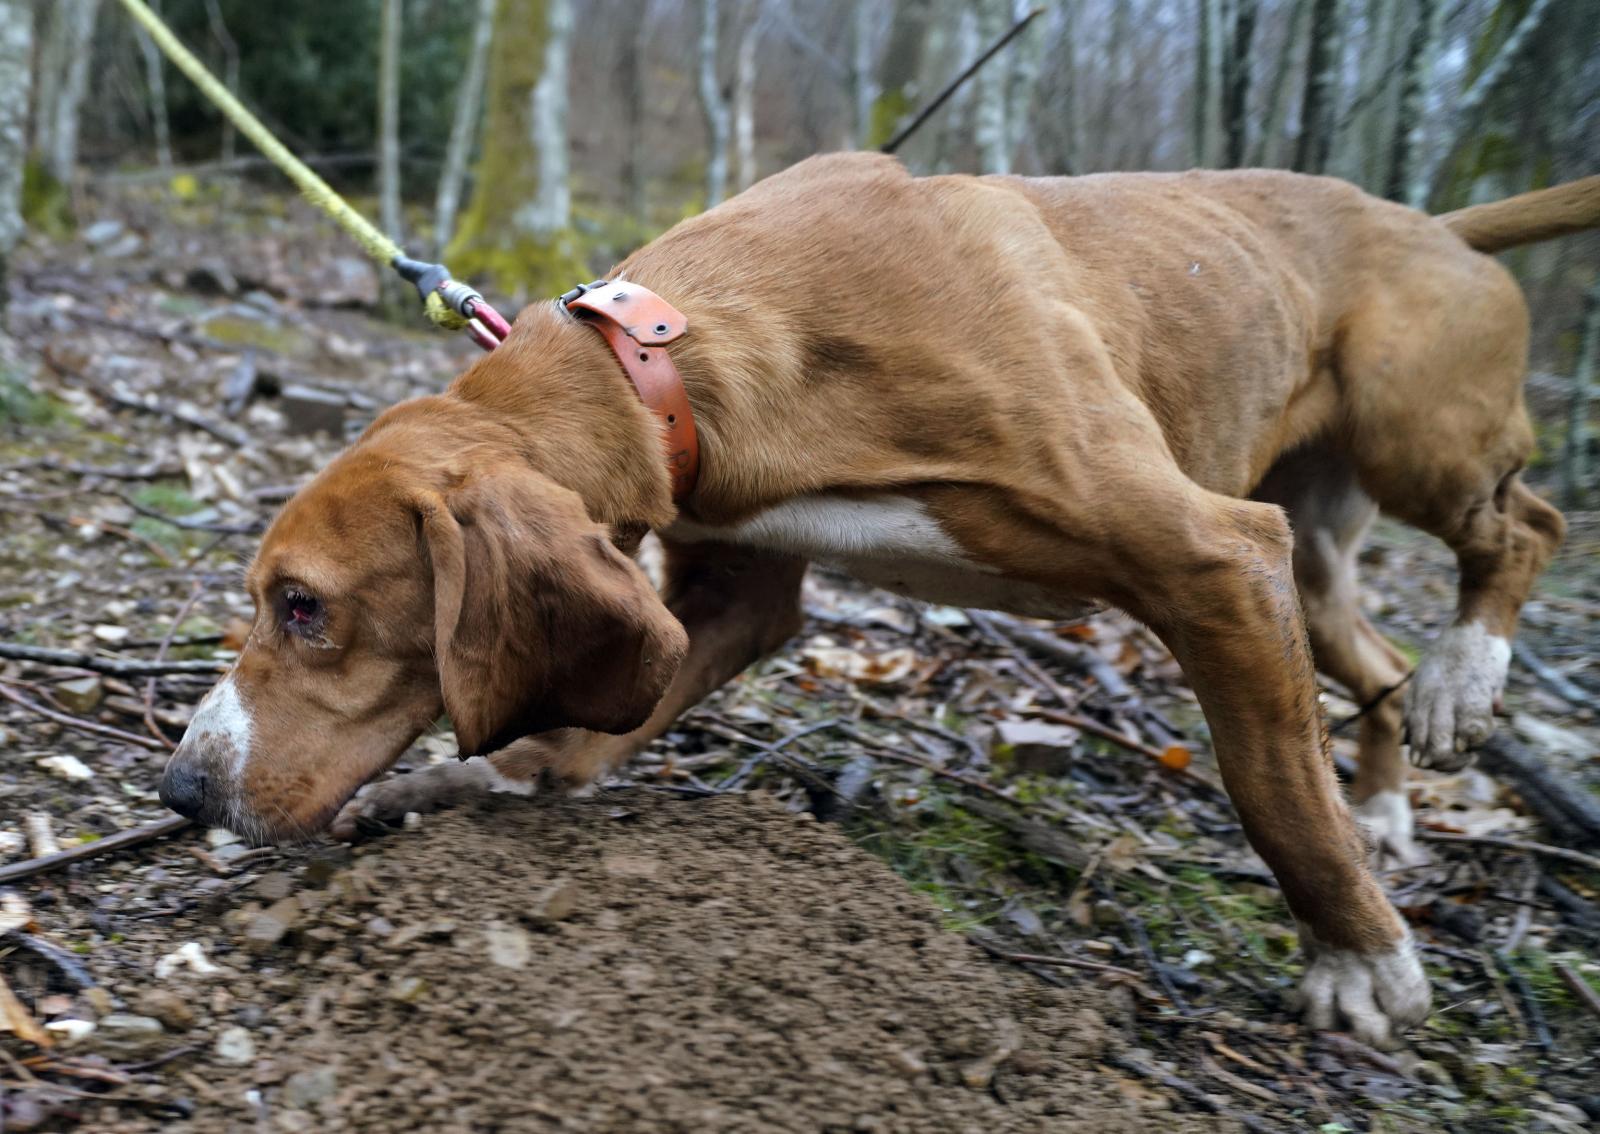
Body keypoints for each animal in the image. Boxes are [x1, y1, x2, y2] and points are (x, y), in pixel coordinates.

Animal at [156, 156, 1593, 1042]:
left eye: (302, 606)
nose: (180, 788)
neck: (671, 352)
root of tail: (1439, 225)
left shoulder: (1214, 558)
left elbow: (1277, 801)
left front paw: (1358, 956)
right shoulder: (730, 600)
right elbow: (585, 731)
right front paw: (476, 782)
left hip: (1413, 442)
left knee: (1528, 525)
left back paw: (1470, 675)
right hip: (1316, 565)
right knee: (1382, 667)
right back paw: (1399, 790)